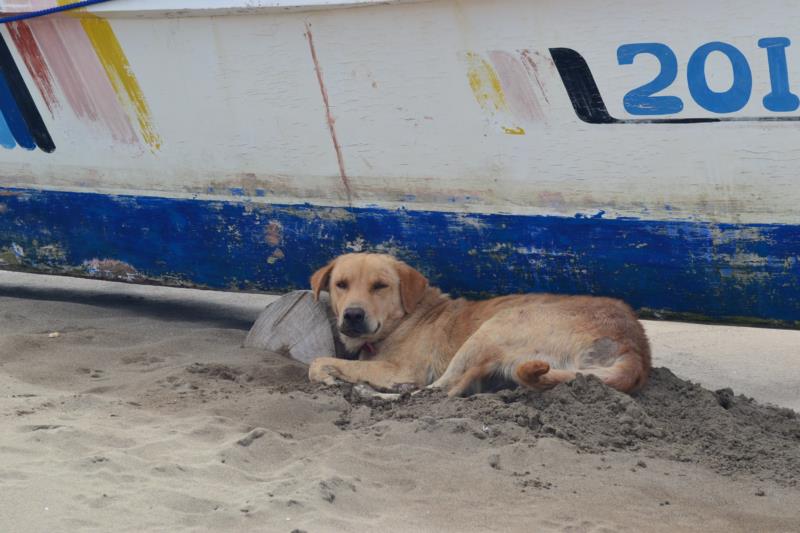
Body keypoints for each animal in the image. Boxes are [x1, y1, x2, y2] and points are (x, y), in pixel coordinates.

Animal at [306, 254, 648, 394]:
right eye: (341, 284)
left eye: (380, 286)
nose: (352, 315)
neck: (406, 318)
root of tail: (635, 346)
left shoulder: (402, 369)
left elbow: (317, 361)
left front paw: (329, 375)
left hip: (493, 329)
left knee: (439, 391)